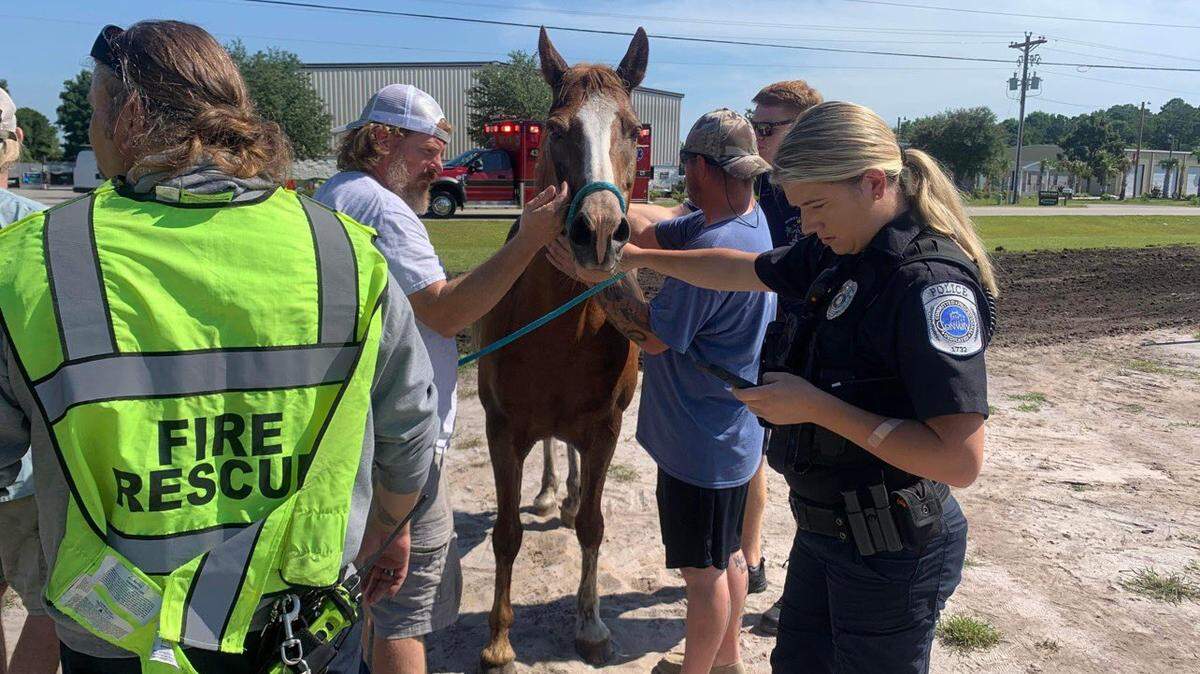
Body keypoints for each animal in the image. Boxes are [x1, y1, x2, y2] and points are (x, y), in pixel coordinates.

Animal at [475, 26, 649, 673]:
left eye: (633, 129)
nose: (598, 232)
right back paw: (552, 491)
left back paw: (568, 496)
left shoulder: (605, 428)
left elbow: (594, 526)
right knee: (551, 450)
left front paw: (591, 623)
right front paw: (499, 640)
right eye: (555, 128)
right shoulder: (502, 429)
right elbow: (505, 534)